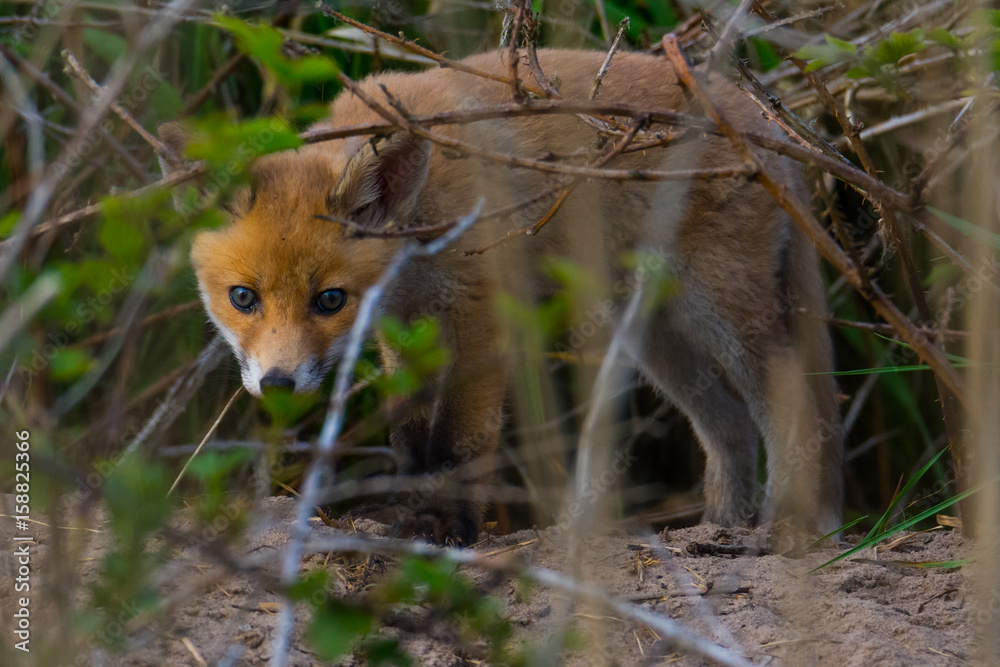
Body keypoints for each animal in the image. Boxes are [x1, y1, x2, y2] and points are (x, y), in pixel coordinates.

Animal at [160, 48, 844, 546]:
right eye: (243, 298)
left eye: (329, 300)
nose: (277, 386)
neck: (423, 235)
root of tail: (763, 120)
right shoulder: (405, 328)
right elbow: (411, 436)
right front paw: (407, 511)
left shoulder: (480, 315)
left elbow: (459, 440)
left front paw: (447, 526)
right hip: (659, 336)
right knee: (729, 426)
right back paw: (719, 528)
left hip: (718, 310)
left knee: (794, 401)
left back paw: (785, 526)